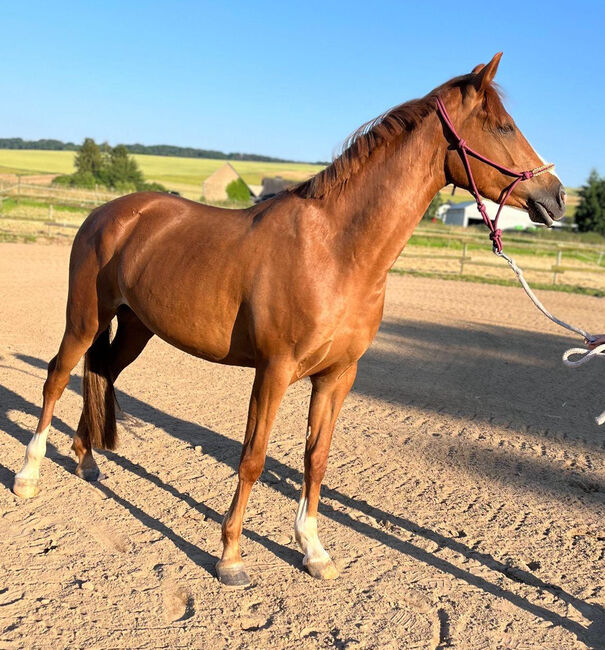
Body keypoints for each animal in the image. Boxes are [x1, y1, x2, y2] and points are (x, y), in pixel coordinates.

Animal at [11, 53, 564, 584]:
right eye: (503, 127)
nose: (555, 197)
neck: (336, 251)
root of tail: (107, 214)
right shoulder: (273, 371)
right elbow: (253, 458)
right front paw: (231, 557)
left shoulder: (338, 376)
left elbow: (315, 459)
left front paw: (313, 551)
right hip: (85, 318)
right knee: (57, 376)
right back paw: (28, 475)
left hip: (135, 327)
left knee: (101, 371)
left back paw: (86, 460)